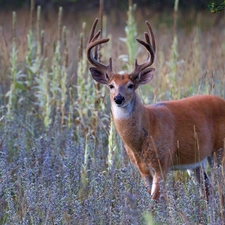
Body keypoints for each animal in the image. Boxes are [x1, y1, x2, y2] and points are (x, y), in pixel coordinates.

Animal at [86, 18, 225, 200]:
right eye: (111, 85)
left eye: (131, 85)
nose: (118, 98)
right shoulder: (143, 169)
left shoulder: (162, 162)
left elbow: (155, 200)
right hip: (197, 161)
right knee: (207, 188)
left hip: (219, 150)